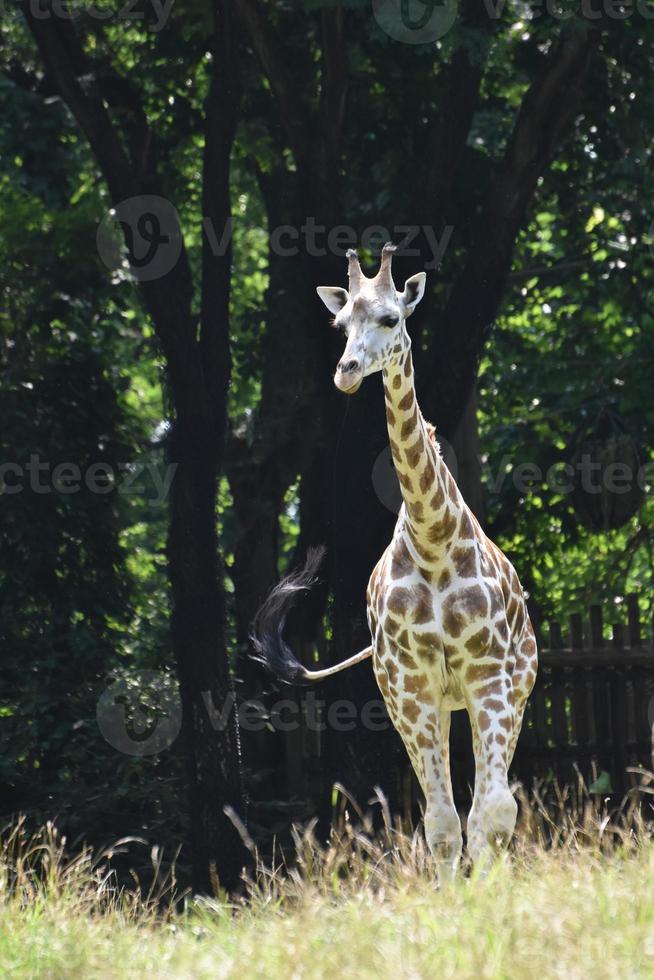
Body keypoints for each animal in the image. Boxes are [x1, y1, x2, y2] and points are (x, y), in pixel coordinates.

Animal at [251, 243, 540, 872]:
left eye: (390, 318)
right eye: (340, 324)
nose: (345, 372)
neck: (433, 539)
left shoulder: (488, 672)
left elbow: (492, 810)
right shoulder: (410, 687)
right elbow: (441, 823)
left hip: (514, 685)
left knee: (496, 802)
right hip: (421, 700)